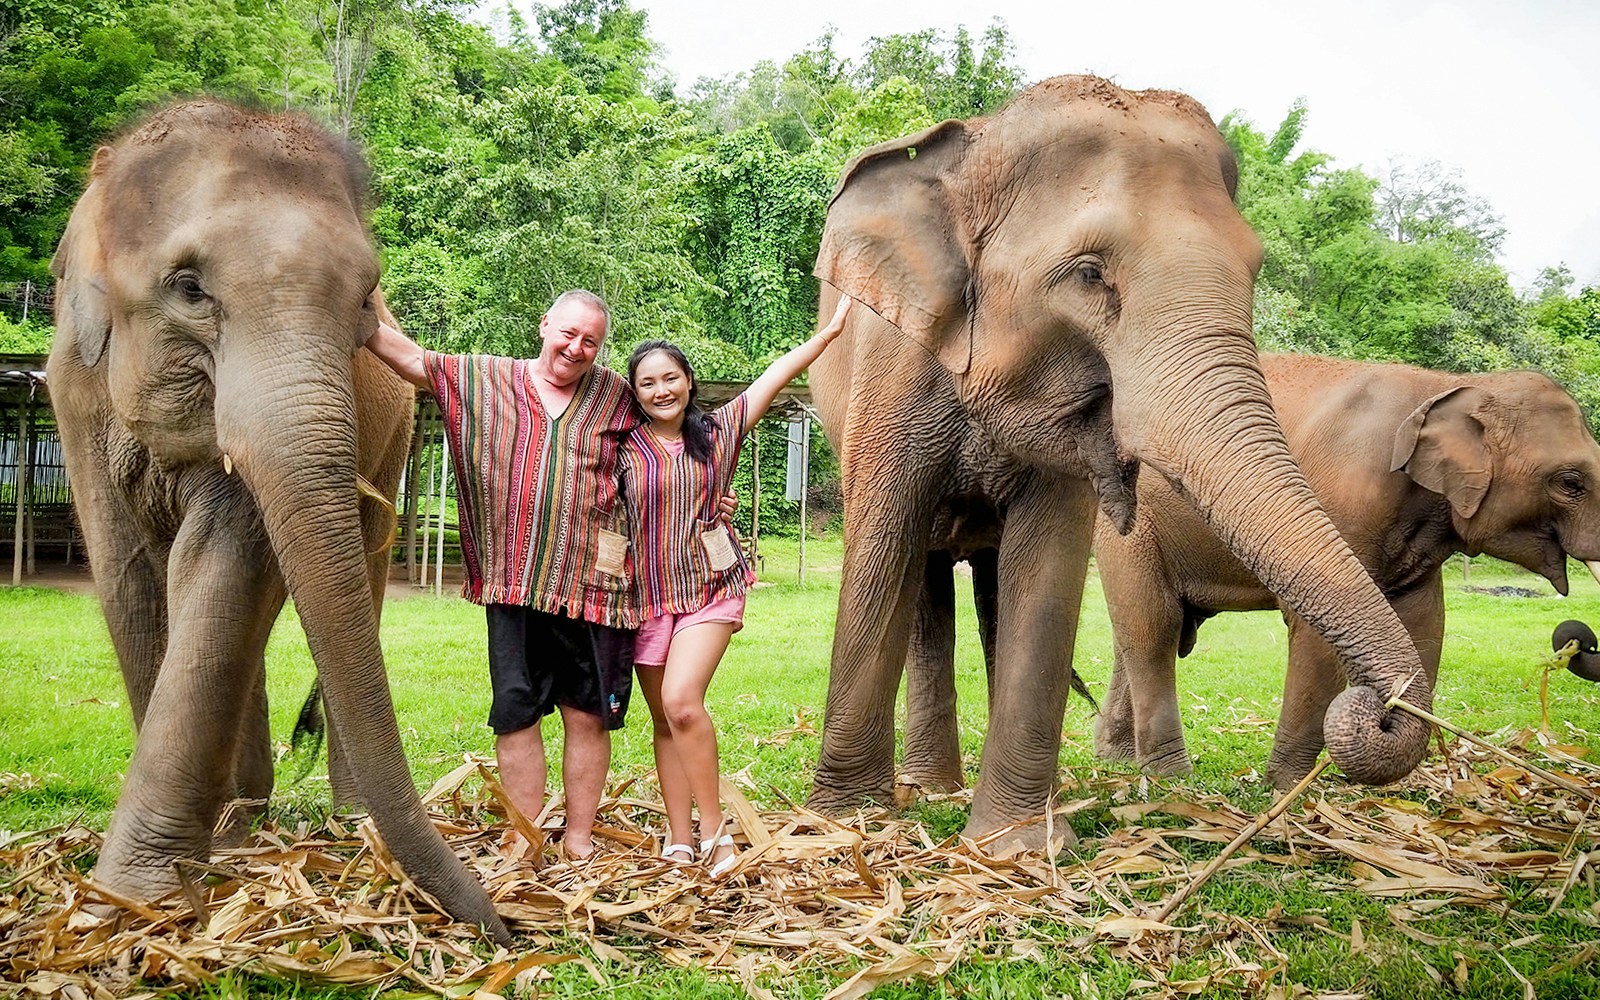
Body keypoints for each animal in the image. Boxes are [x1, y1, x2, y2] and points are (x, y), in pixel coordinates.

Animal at [46, 97, 505, 940]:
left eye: (364, 301)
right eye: (190, 288)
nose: (504, 929)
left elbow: (225, 562)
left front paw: (135, 893)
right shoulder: (74, 393)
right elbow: (129, 576)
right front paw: (139, 897)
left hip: (393, 436)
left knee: (356, 570)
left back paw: (341, 823)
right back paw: (240, 826)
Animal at [812, 74, 1440, 851]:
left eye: (1254, 269)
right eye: (1089, 274)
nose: (1379, 713)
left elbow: (1047, 567)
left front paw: (1013, 846)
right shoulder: (893, 364)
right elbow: (882, 541)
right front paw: (843, 824)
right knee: (925, 572)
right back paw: (928, 791)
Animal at [1094, 355, 1600, 784]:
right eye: (1570, 483)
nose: (1578, 640)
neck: (1452, 384)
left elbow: (1425, 627)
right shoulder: (1345, 497)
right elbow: (1318, 636)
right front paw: (1285, 790)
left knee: (1136, 631)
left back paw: (1116, 760)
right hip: (1130, 527)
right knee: (1153, 626)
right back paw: (1171, 778)